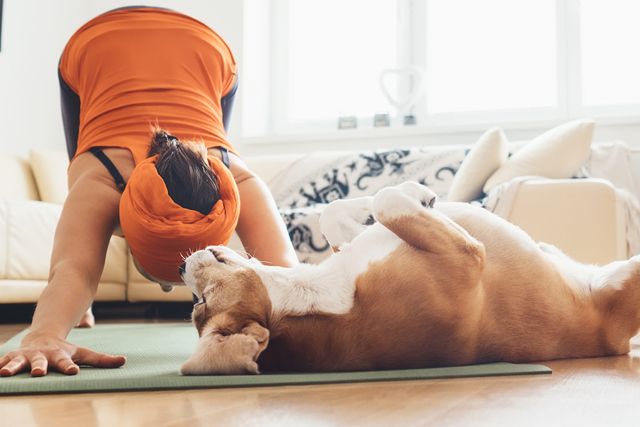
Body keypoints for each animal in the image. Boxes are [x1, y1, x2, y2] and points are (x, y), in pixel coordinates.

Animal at [178, 182, 640, 376]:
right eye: (199, 302)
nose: (181, 268)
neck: (319, 295)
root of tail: (616, 341)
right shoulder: (467, 257)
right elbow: (387, 200)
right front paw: (417, 192)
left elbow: (337, 212)